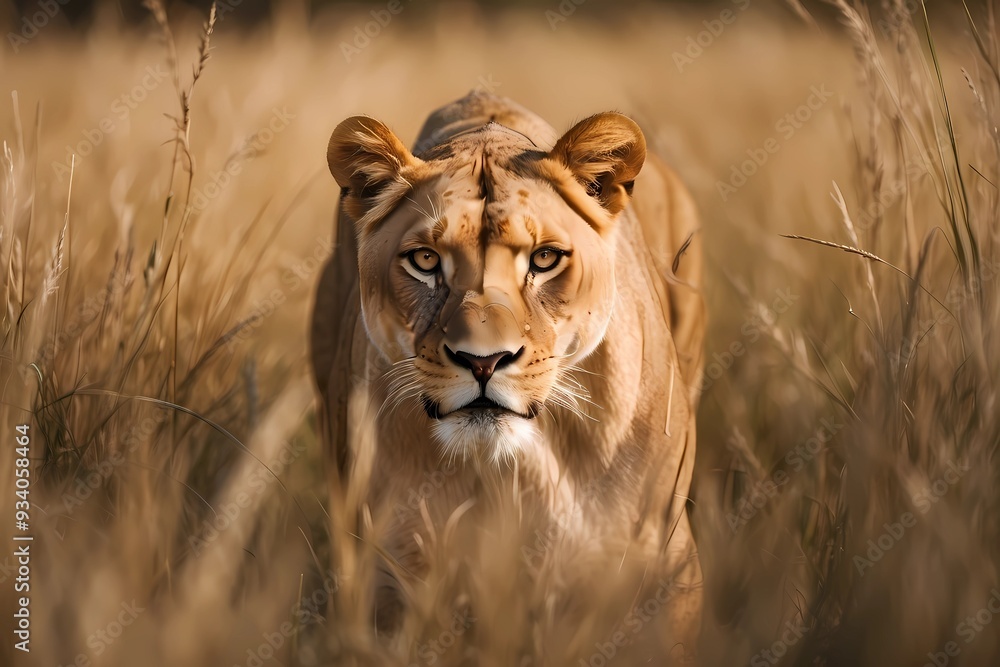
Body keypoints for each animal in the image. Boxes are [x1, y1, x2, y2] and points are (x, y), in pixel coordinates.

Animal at [311, 91, 705, 661]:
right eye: (424, 260)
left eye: (544, 259)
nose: (483, 361)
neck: (514, 470)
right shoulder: (389, 571)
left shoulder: (666, 562)